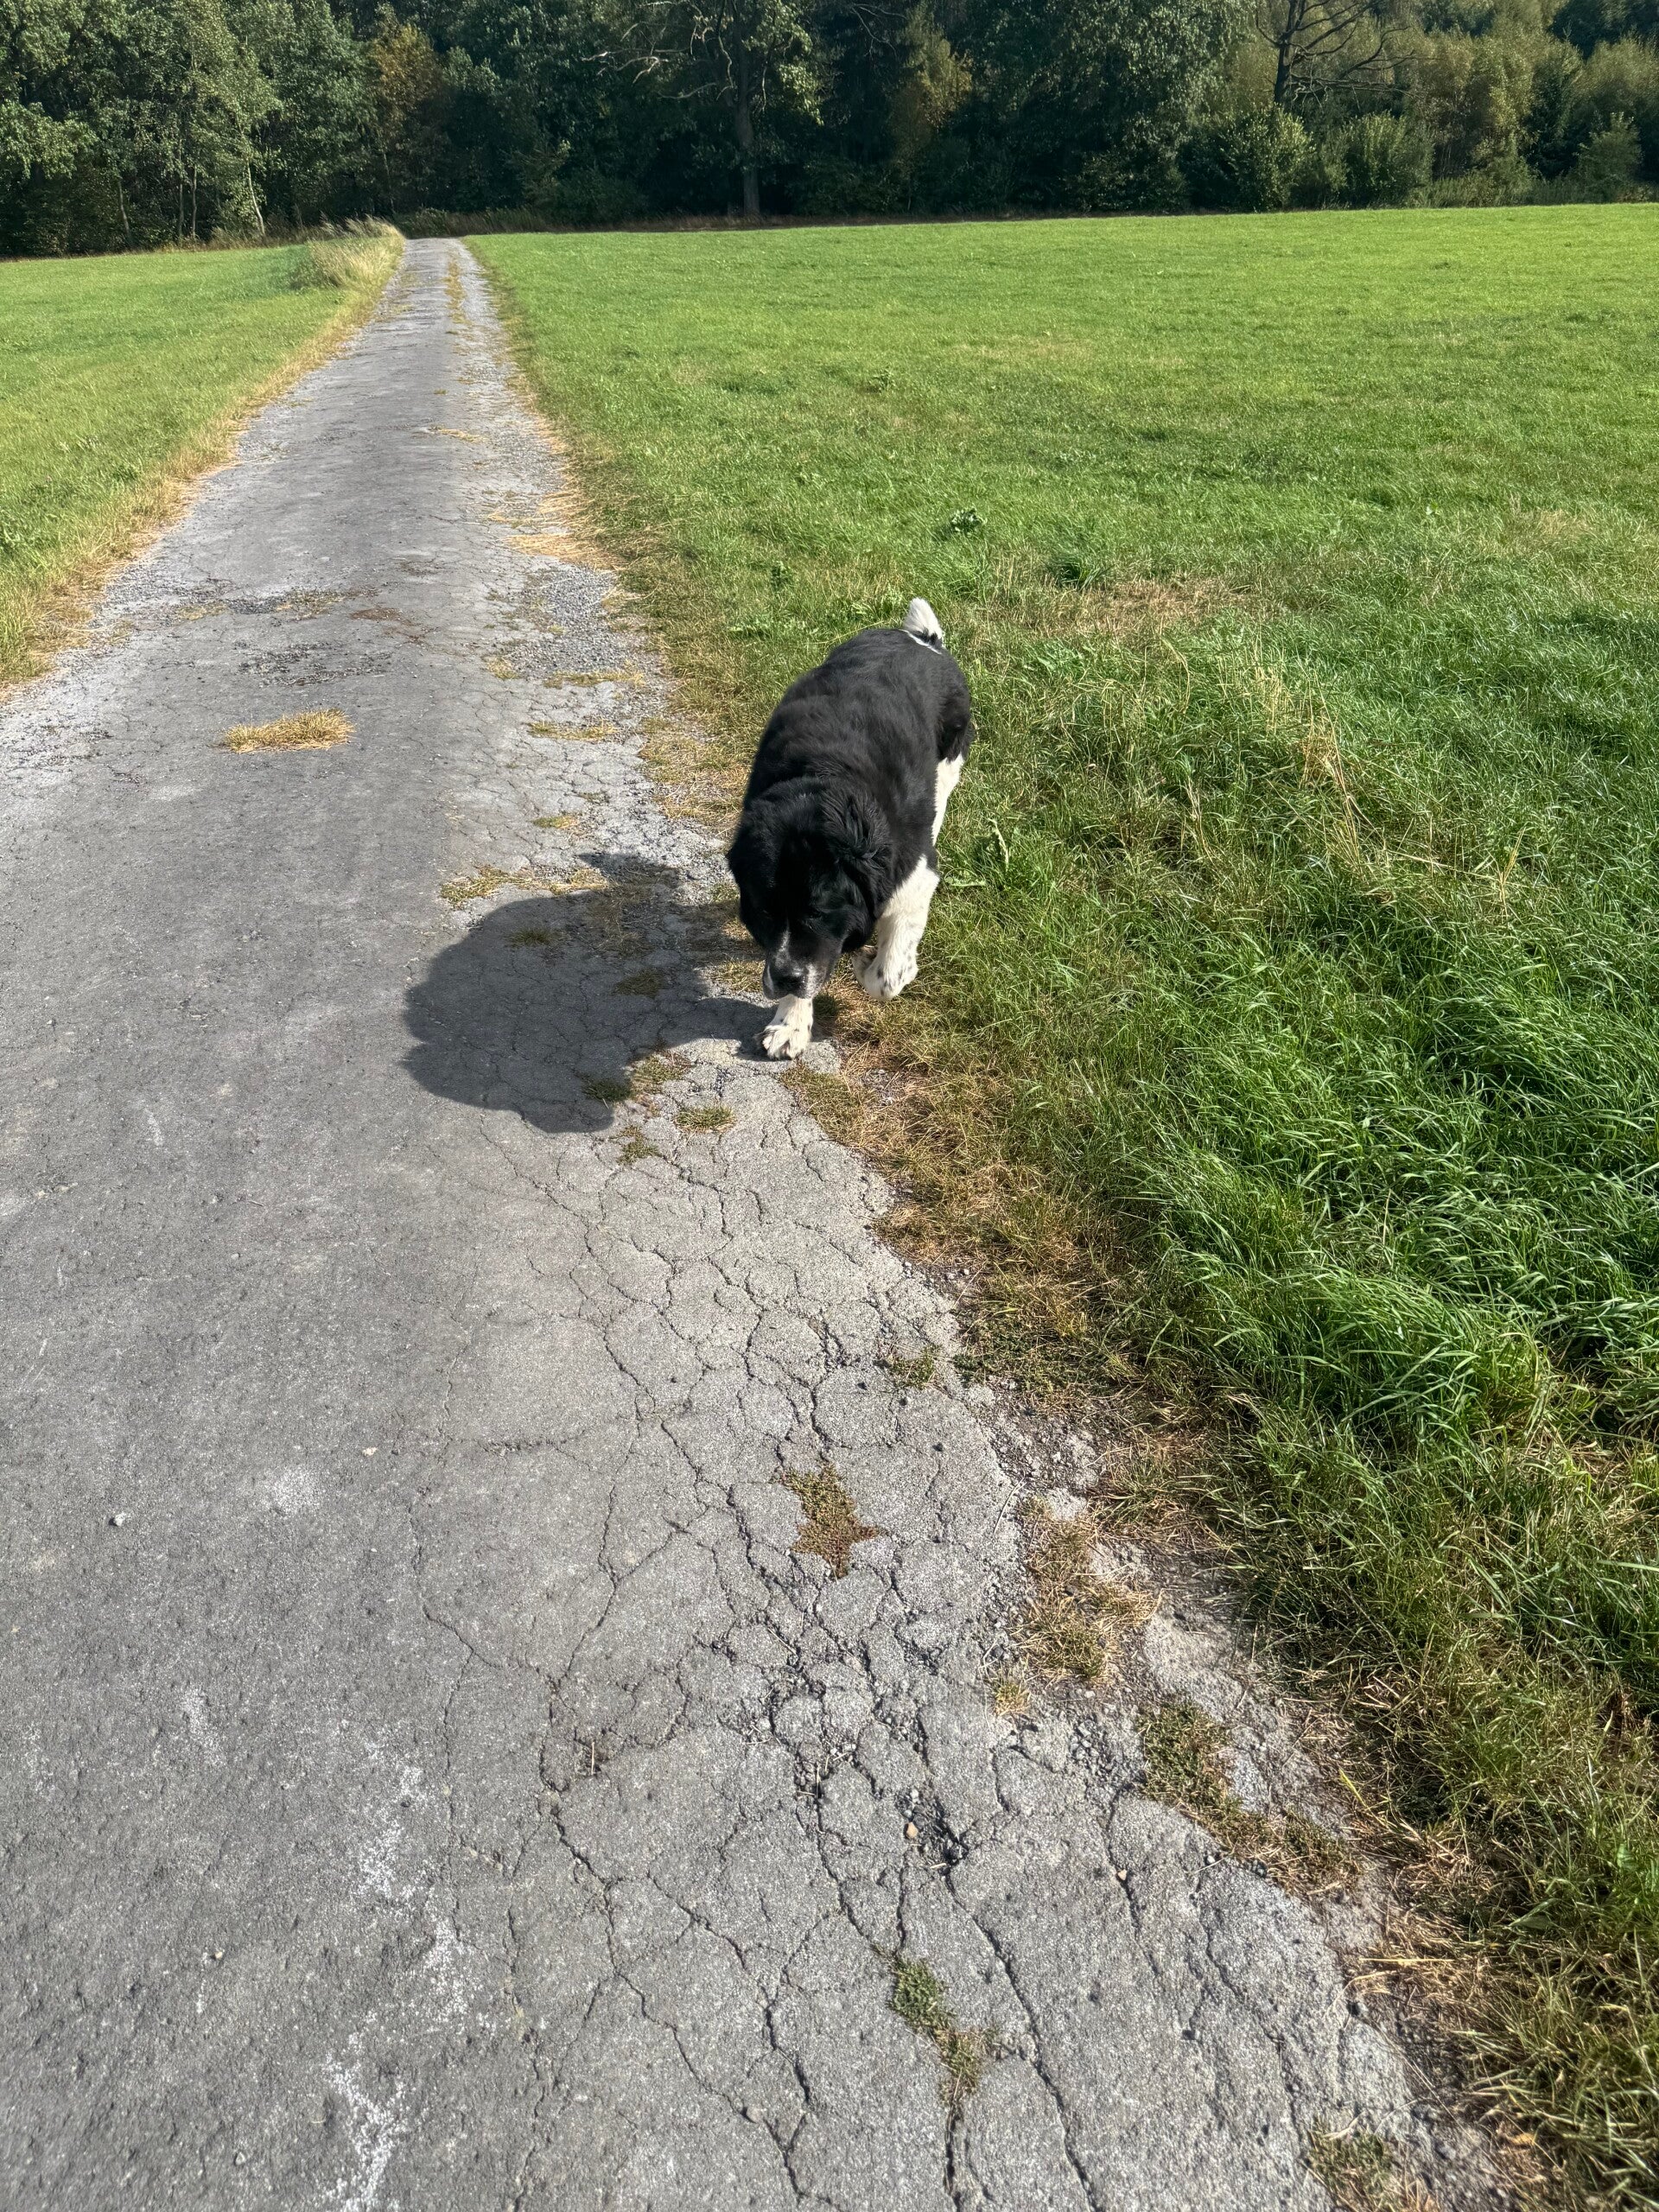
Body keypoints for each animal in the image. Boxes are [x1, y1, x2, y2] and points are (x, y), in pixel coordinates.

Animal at [727, 597, 973, 1061]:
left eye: (818, 911)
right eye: (765, 910)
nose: (784, 978)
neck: (823, 779)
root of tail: (921, 639)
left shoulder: (911, 876)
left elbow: (887, 977)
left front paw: (865, 961)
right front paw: (790, 1023)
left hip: (950, 762)